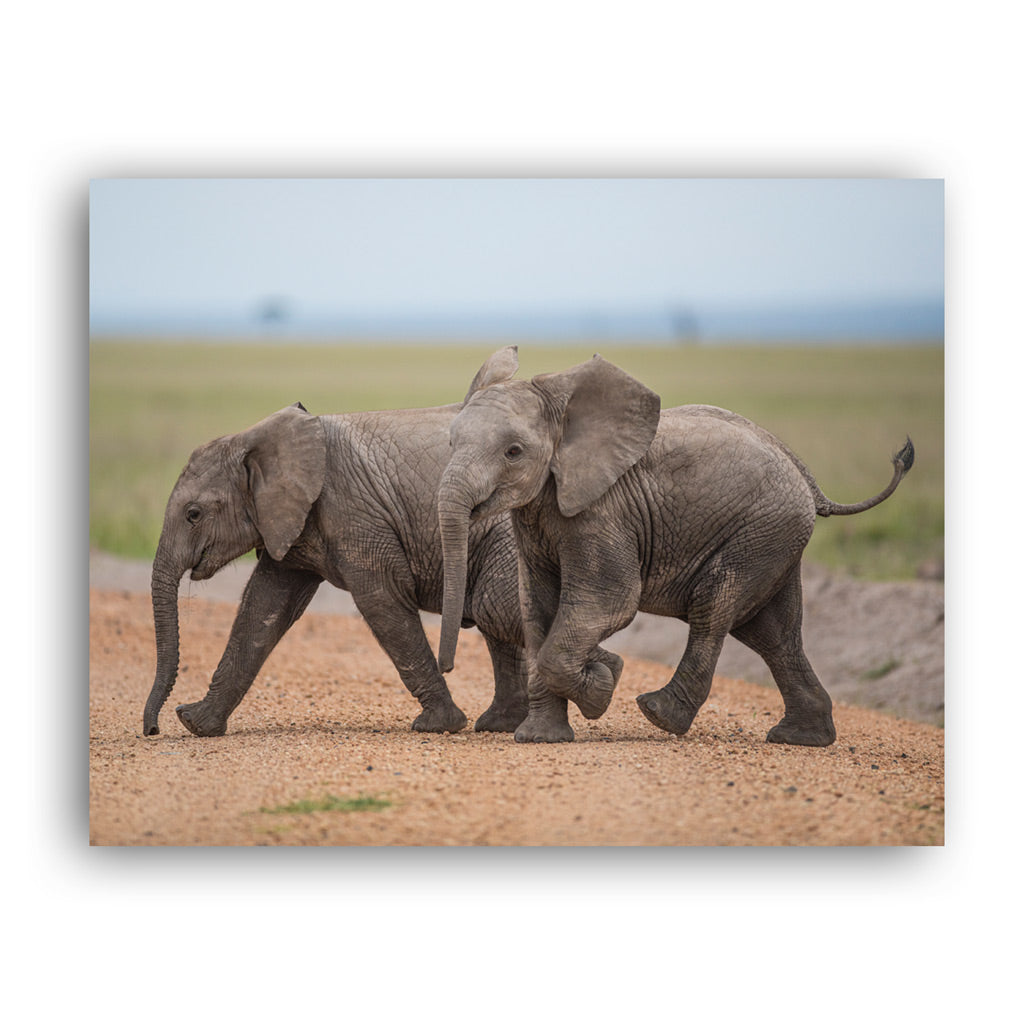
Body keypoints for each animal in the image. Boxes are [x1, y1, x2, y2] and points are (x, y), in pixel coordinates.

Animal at [143, 396, 539, 738]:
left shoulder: (352, 513)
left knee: (495, 610)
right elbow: (263, 608)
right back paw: (498, 725)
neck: (258, 437)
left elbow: (381, 601)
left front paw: (439, 725)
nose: (153, 729)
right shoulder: (291, 523)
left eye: (194, 514)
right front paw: (196, 723)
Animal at [437, 348, 914, 746]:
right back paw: (800, 738)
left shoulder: (604, 511)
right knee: (772, 633)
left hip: (761, 530)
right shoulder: (535, 519)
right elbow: (536, 606)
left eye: (513, 452)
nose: (448, 667)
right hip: (775, 536)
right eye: (450, 442)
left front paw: (603, 685)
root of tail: (804, 473)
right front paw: (541, 737)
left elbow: (610, 601)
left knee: (714, 606)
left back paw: (659, 714)